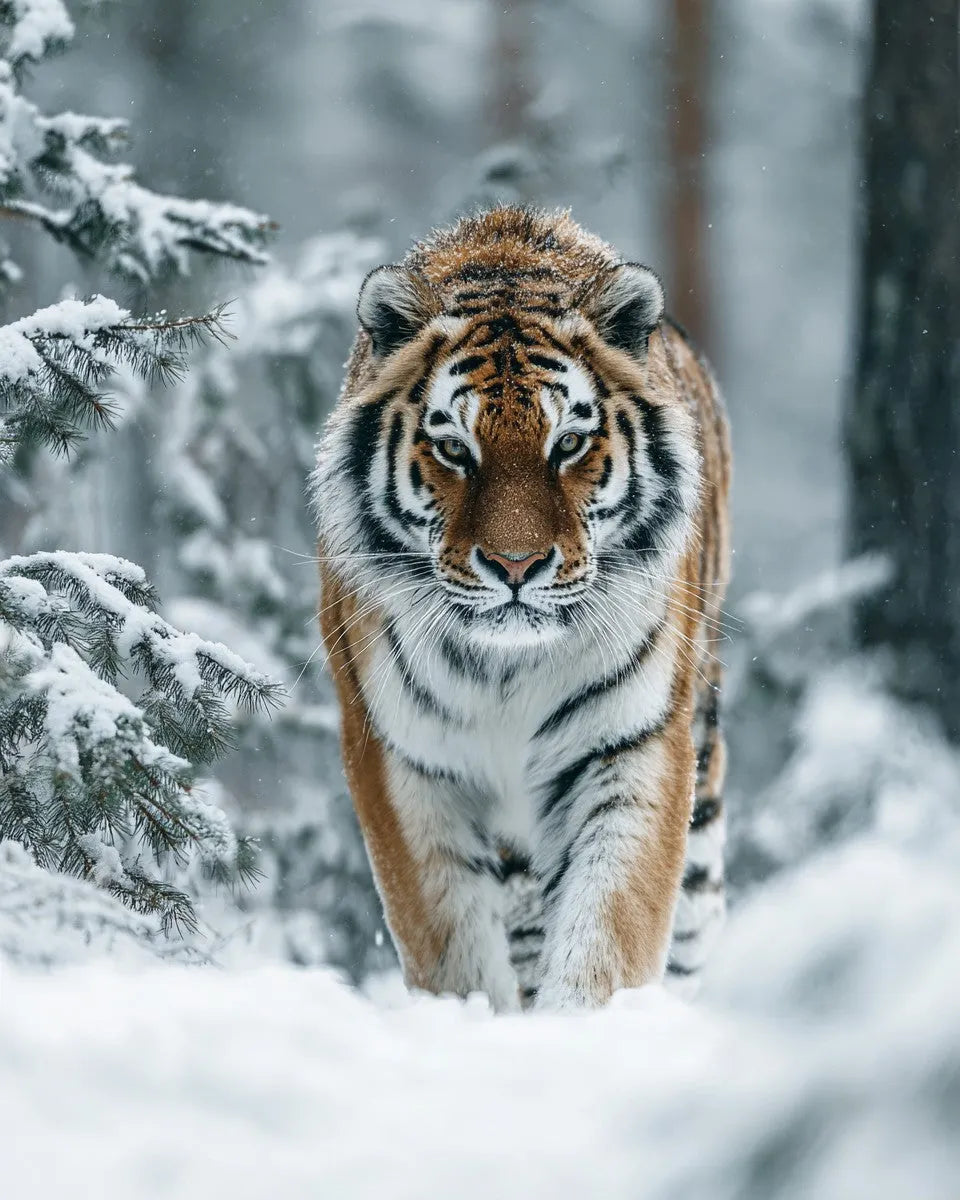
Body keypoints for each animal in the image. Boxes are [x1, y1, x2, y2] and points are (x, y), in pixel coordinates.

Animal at [312, 206, 730, 1011]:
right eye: (453, 448)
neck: (505, 672)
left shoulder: (632, 745)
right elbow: (452, 944)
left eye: (567, 444)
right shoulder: (401, 759)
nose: (515, 566)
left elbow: (610, 929)